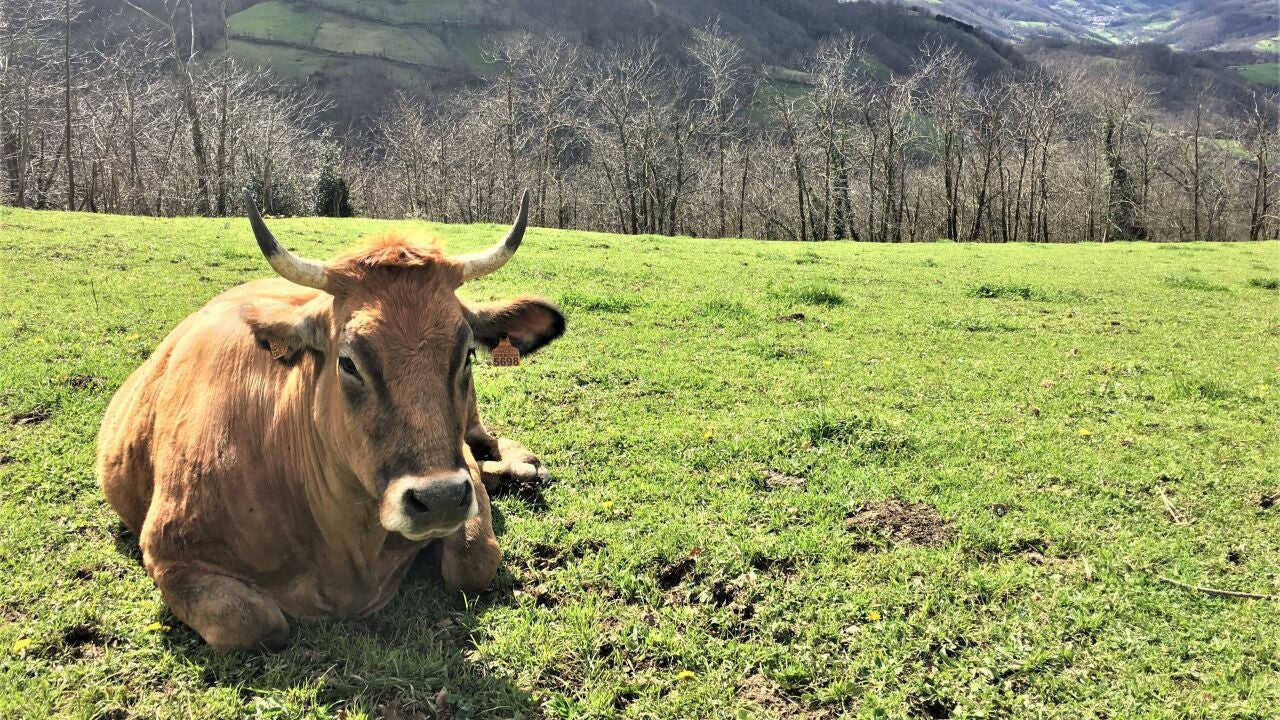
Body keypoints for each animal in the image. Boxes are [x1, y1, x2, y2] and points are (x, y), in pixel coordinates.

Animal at [97, 190, 564, 650]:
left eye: (467, 354)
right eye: (348, 361)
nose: (441, 499)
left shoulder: (459, 470)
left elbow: (473, 561)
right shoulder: (169, 555)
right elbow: (254, 623)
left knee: (484, 440)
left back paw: (524, 467)